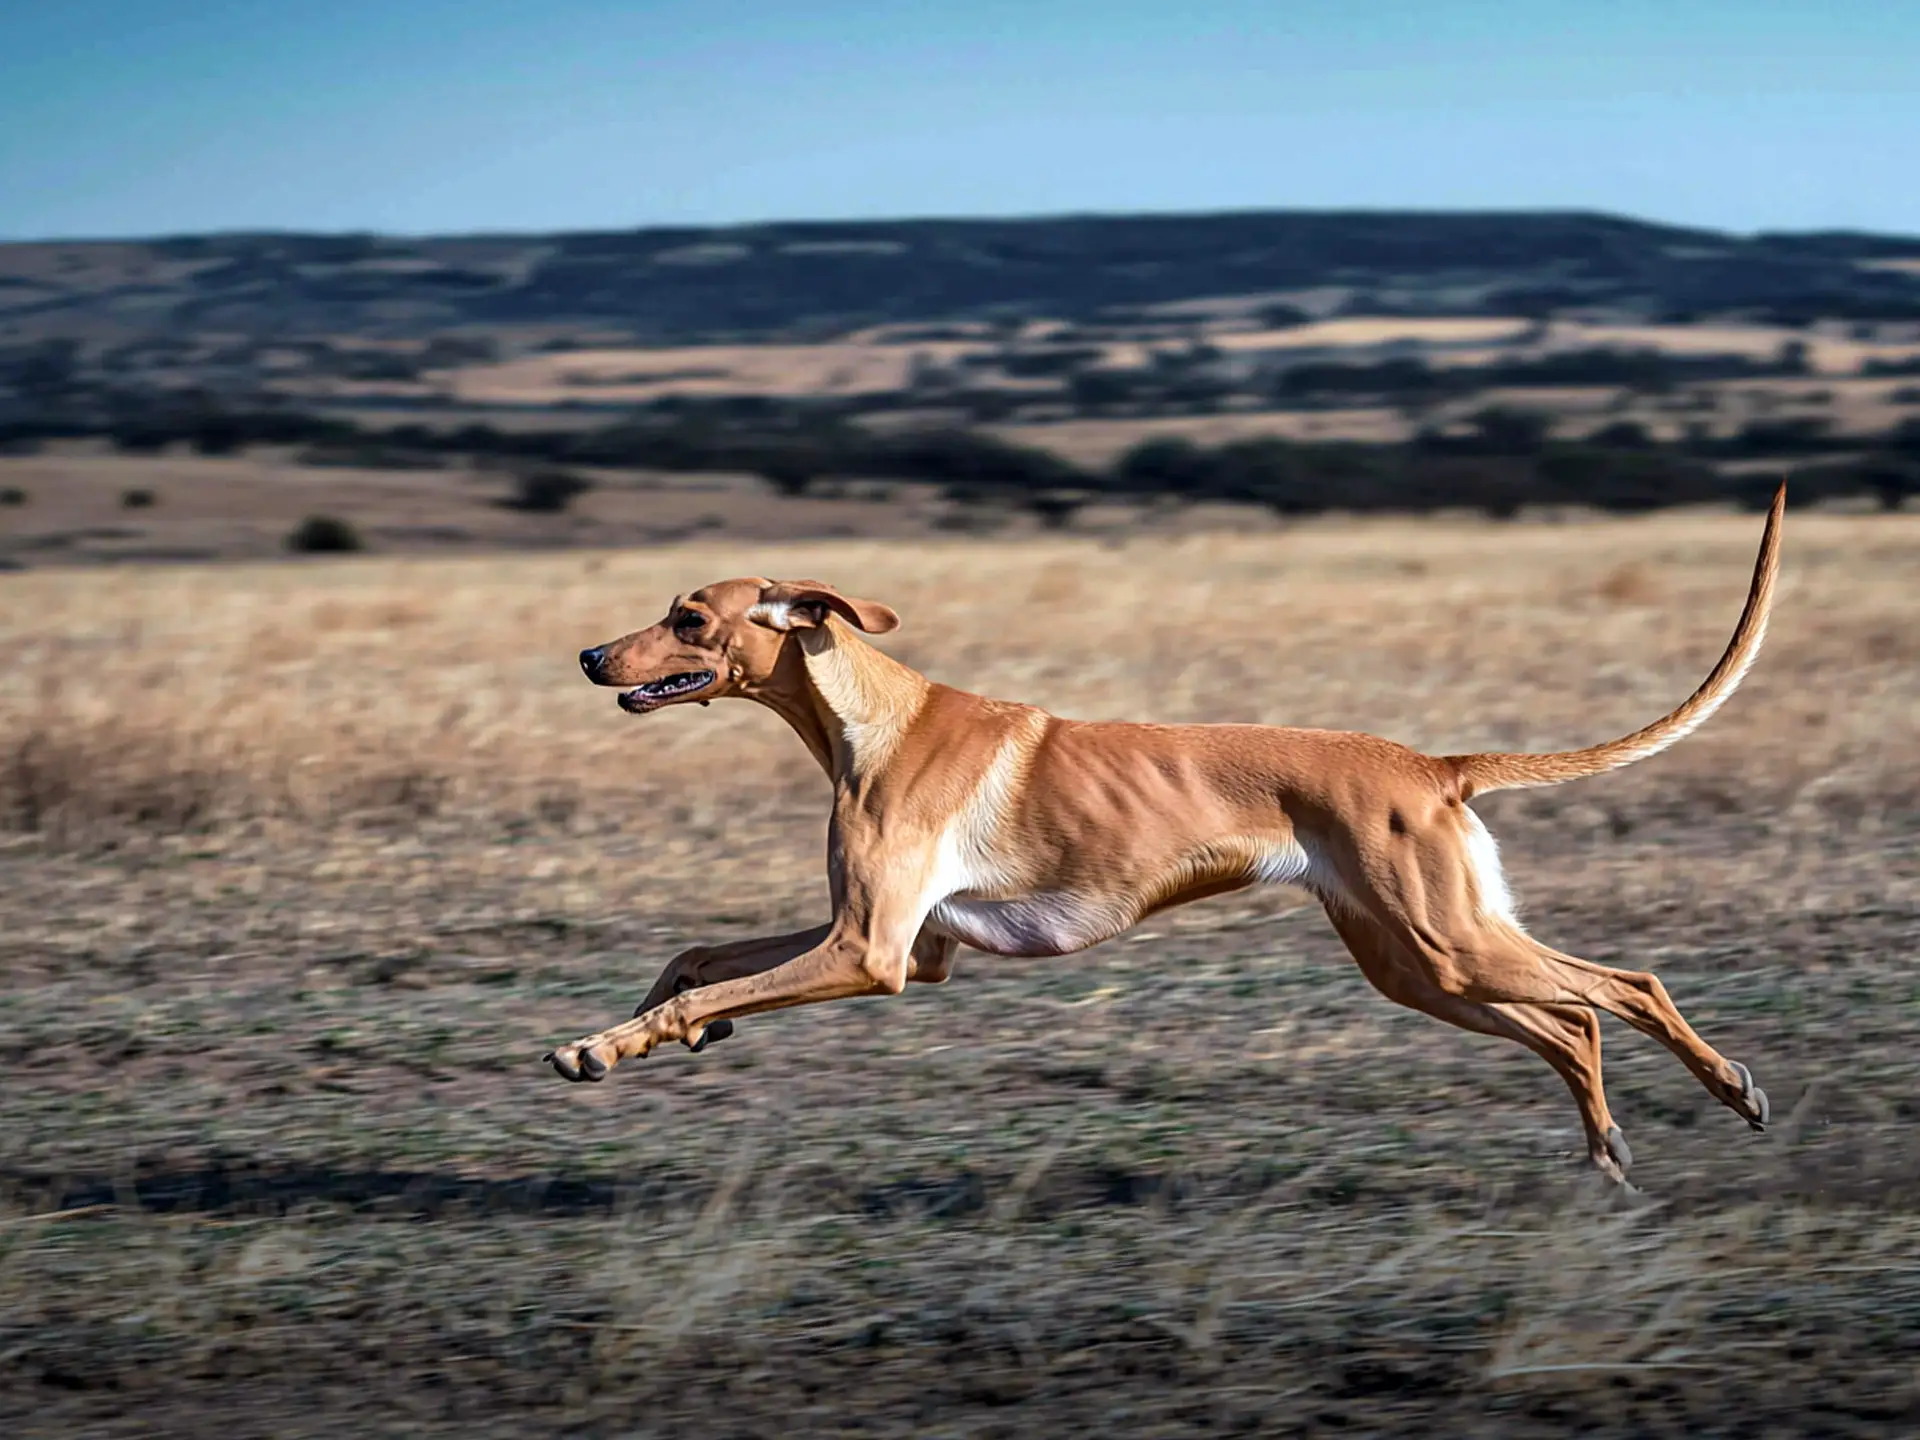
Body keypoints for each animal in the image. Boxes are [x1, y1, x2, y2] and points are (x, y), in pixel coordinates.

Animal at [545, 485, 1781, 1182]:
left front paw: (608, 1046)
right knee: (1573, 1023)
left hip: (1448, 944)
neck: (868, 715)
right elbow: (699, 959)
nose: (591, 657)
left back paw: (1729, 1089)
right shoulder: (901, 943)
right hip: (1417, 965)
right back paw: (1607, 1151)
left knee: (1621, 988)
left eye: (688, 618)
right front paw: (640, 1029)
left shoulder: (875, 954)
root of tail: (1433, 766)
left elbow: (711, 982)